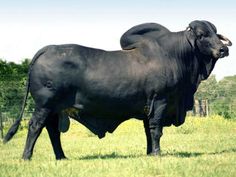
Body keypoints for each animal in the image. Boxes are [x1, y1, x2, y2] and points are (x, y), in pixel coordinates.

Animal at [4, 20, 232, 160]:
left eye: (215, 33)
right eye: (202, 34)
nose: (223, 49)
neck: (176, 56)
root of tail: (47, 49)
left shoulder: (147, 108)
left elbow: (148, 132)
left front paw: (149, 153)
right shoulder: (160, 102)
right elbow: (156, 130)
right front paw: (157, 153)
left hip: (54, 109)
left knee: (52, 131)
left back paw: (61, 157)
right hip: (45, 105)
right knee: (35, 127)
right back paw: (27, 157)